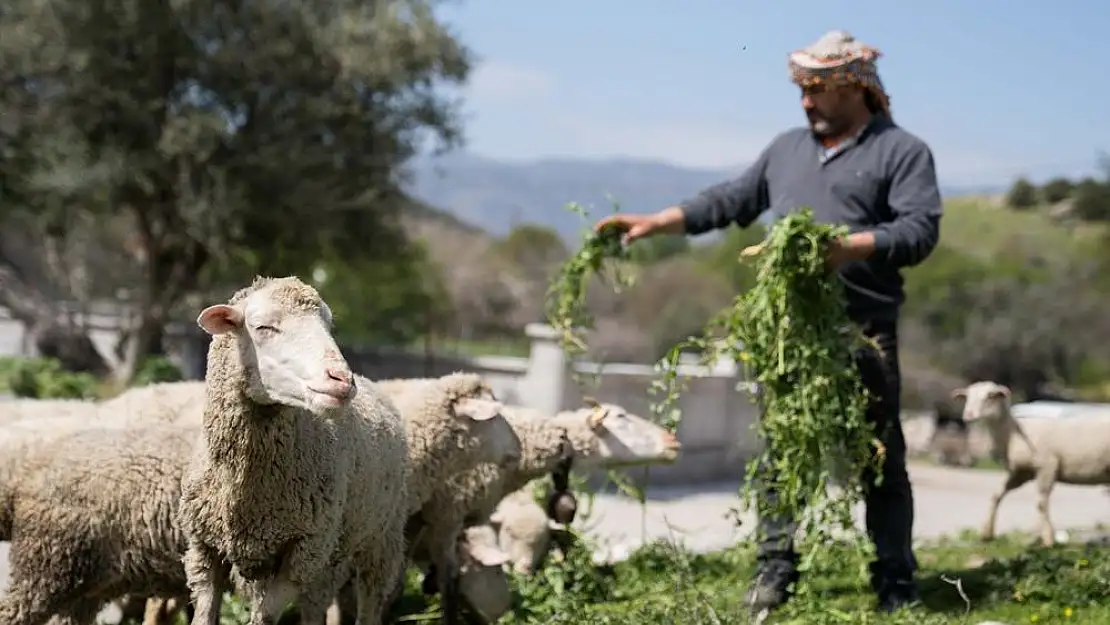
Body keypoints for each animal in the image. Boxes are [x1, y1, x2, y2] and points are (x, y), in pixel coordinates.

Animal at [177, 278, 412, 625]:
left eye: (328, 325)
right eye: (263, 327)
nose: (342, 380)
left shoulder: (304, 554)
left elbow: (262, 617)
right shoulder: (202, 550)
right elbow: (205, 615)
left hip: (381, 538)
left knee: (370, 598)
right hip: (325, 554)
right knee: (315, 605)